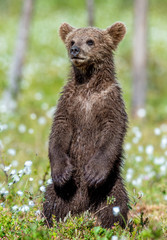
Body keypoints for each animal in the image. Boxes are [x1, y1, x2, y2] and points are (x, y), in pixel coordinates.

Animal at [43, 21, 129, 229]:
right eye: (72, 40)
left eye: (90, 41)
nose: (75, 50)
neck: (89, 87)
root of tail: (82, 207)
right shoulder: (69, 103)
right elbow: (59, 132)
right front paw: (61, 172)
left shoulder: (110, 103)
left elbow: (112, 132)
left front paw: (93, 172)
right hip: (64, 193)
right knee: (51, 201)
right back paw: (50, 223)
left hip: (110, 187)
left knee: (116, 206)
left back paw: (113, 226)